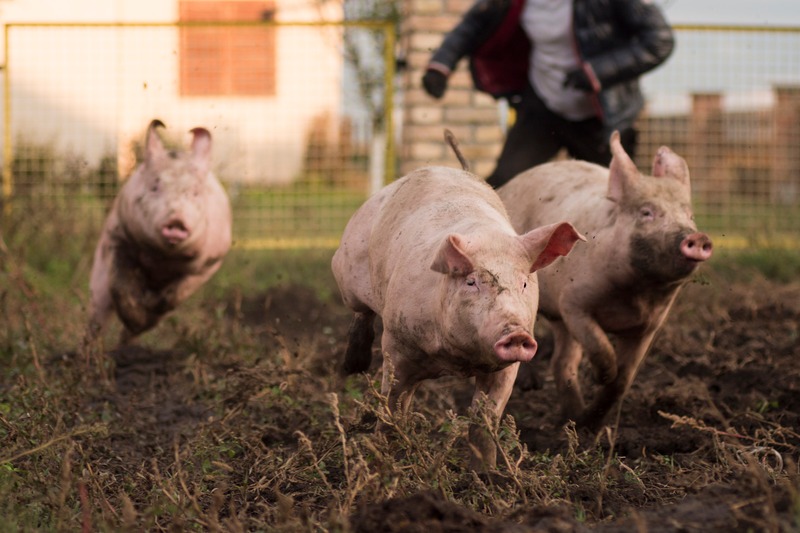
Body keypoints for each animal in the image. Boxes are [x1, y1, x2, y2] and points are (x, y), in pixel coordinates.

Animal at [84, 119, 232, 348]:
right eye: (155, 187)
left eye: (195, 193)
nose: (177, 220)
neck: (162, 257)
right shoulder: (117, 236)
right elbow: (119, 285)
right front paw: (136, 317)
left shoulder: (211, 262)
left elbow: (175, 294)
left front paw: (148, 309)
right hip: (99, 271)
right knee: (97, 310)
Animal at [331, 164, 583, 468]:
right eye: (471, 282)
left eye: (524, 283)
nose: (515, 331)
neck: (455, 359)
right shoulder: (397, 343)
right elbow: (392, 409)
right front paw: (381, 463)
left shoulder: (506, 370)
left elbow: (484, 423)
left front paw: (486, 475)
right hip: (347, 269)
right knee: (361, 312)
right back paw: (353, 367)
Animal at [498, 131, 713, 431]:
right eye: (646, 212)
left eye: (689, 215)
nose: (697, 237)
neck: (636, 293)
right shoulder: (572, 301)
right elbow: (599, 344)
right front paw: (602, 376)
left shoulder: (648, 326)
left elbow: (623, 382)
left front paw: (594, 428)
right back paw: (533, 386)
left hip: (561, 324)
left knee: (561, 362)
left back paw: (573, 420)